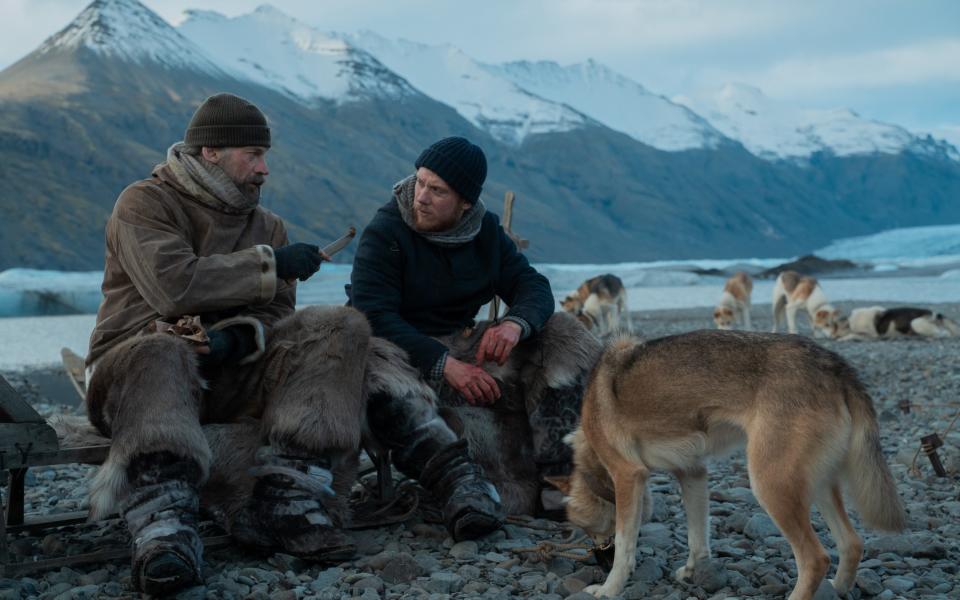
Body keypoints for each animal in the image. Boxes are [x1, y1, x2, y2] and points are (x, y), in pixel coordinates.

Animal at [556, 330, 908, 596]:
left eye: (588, 529)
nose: (598, 558)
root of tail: (835, 364)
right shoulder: (693, 472)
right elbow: (698, 537)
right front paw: (692, 571)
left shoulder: (628, 476)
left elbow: (626, 546)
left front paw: (608, 589)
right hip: (816, 484)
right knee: (852, 543)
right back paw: (838, 588)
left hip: (770, 485)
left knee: (816, 559)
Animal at [832, 308, 960, 340]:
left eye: (835, 327)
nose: (832, 336)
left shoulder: (871, 336)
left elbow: (852, 335)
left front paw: (842, 339)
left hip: (916, 323)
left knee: (944, 333)